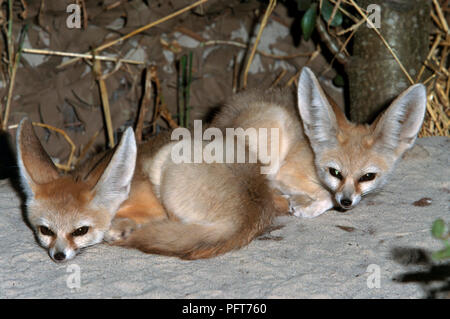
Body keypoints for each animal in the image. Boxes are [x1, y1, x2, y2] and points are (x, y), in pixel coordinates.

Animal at [213, 66, 428, 219]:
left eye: (368, 176)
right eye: (335, 172)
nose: (347, 201)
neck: (312, 153)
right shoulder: (285, 173)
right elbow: (328, 196)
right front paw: (307, 209)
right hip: (276, 125)